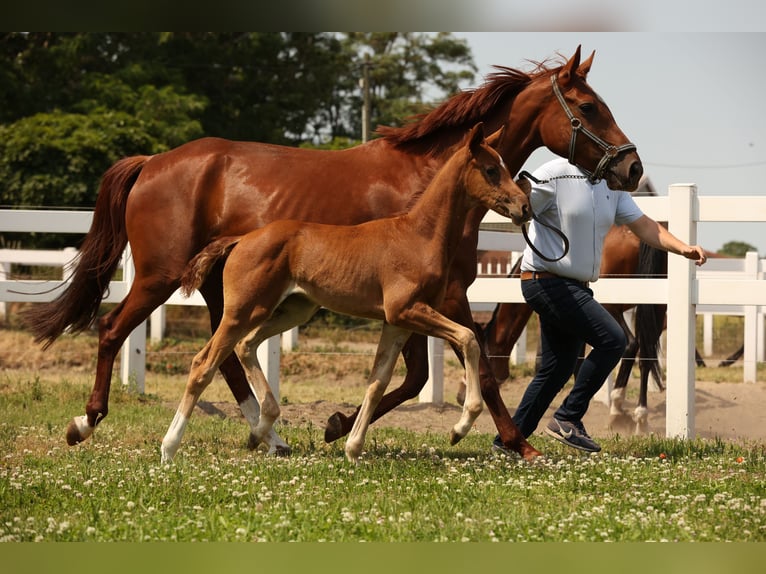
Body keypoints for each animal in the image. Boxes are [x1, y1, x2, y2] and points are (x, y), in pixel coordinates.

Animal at [24, 45, 644, 462]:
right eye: (588, 106)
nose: (632, 167)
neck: (426, 183)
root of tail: (151, 161)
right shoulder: (433, 300)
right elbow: (471, 370)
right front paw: (515, 442)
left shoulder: (435, 300)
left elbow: (418, 376)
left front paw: (339, 425)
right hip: (160, 276)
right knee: (115, 331)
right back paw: (87, 422)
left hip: (226, 291)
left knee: (228, 355)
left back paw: (269, 434)